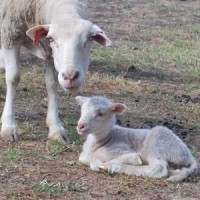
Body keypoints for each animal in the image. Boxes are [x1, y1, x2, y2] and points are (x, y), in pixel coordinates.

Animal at [0, 0, 111, 142]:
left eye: (89, 39)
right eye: (52, 39)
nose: (70, 76)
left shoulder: (50, 53)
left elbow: (52, 84)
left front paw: (56, 129)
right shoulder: (10, 32)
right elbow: (14, 78)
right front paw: (8, 127)